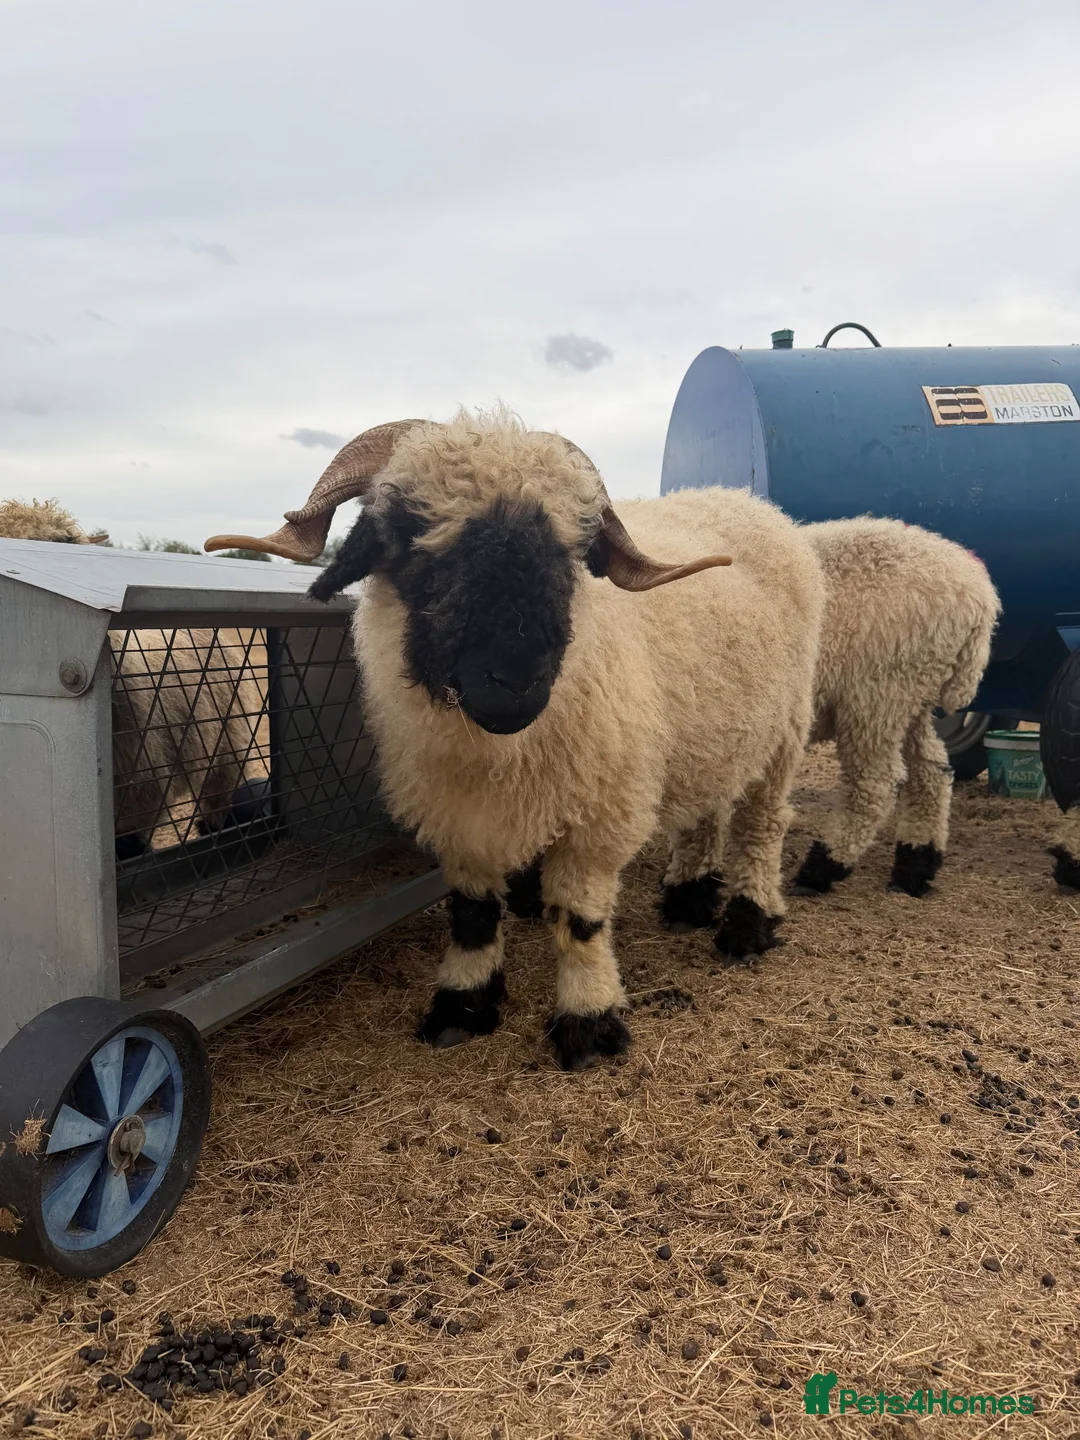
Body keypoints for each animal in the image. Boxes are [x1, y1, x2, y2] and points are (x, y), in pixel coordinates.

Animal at [205, 409, 825, 1069]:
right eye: (409, 536)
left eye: (574, 550)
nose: (516, 681)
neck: (497, 754)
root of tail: (743, 499)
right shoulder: (458, 817)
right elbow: (473, 915)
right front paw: (462, 1007)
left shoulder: (601, 816)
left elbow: (580, 922)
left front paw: (588, 1023)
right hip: (713, 735)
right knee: (707, 807)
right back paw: (687, 902)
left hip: (787, 726)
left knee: (761, 826)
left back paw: (747, 926)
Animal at [660, 515, 1001, 929]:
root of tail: (978, 591)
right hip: (912, 696)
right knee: (932, 770)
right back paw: (915, 867)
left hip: (877, 692)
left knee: (875, 783)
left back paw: (823, 866)